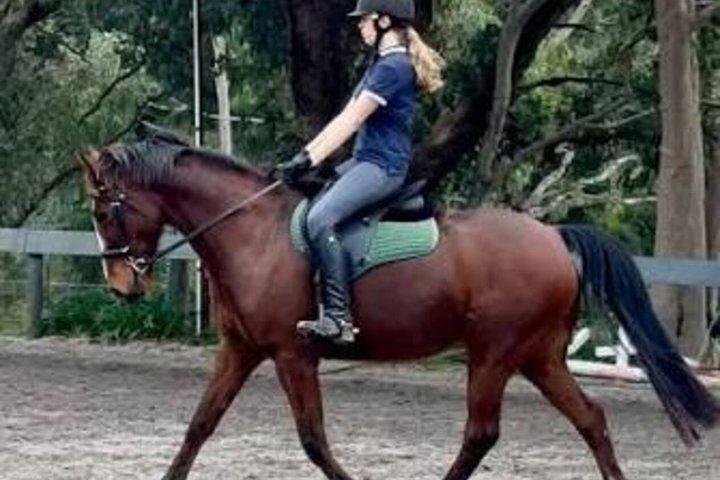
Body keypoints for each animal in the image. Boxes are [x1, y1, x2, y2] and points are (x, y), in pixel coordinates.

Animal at [78, 136, 719, 480]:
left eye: (106, 210)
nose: (121, 286)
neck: (251, 233)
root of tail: (555, 237)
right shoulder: (240, 350)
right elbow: (200, 425)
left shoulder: (291, 354)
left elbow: (313, 439)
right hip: (539, 356)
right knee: (591, 419)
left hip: (494, 353)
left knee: (481, 432)